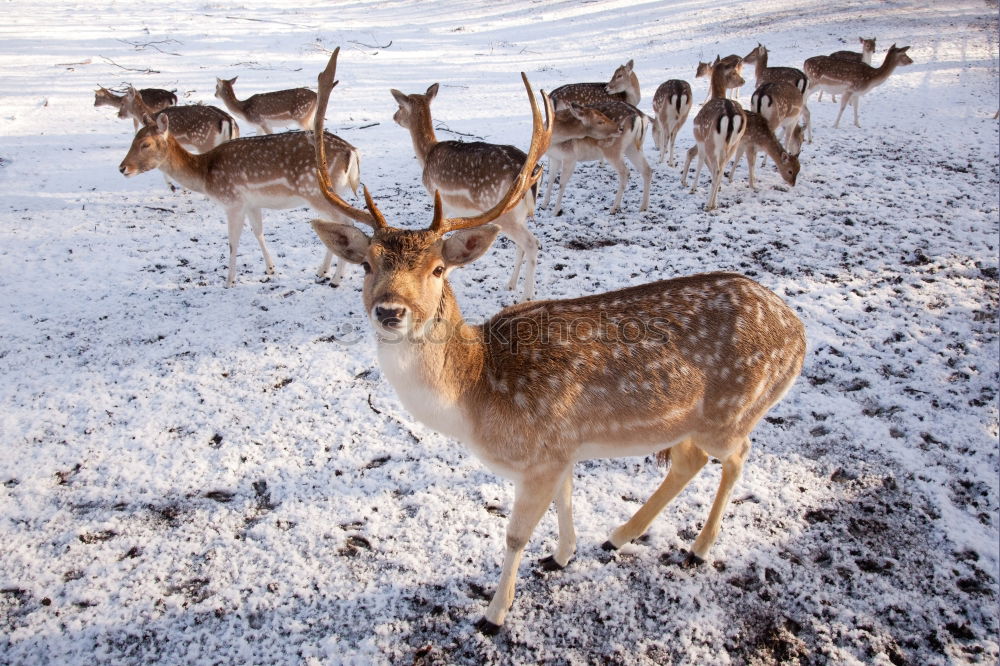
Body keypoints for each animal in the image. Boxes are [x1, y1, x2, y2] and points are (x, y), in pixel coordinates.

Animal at [117, 46, 374, 286]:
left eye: (146, 144)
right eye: (134, 138)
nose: (123, 168)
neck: (204, 173)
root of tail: (352, 152)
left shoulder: (233, 201)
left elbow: (233, 241)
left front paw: (229, 281)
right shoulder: (252, 202)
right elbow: (258, 231)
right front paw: (271, 269)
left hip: (314, 191)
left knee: (348, 223)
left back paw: (337, 277)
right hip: (329, 191)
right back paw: (322, 271)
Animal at [390, 81, 548, 300]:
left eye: (400, 106)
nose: (394, 117)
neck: (426, 155)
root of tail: (531, 175)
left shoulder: (440, 199)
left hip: (502, 211)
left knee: (532, 243)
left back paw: (527, 296)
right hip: (518, 212)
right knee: (521, 245)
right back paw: (510, 284)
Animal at [684, 63, 748, 210]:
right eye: (733, 72)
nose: (743, 81)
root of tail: (730, 114)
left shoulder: (700, 139)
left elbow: (700, 161)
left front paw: (692, 188)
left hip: (711, 142)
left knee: (717, 169)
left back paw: (709, 204)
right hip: (734, 143)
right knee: (722, 168)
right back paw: (715, 203)